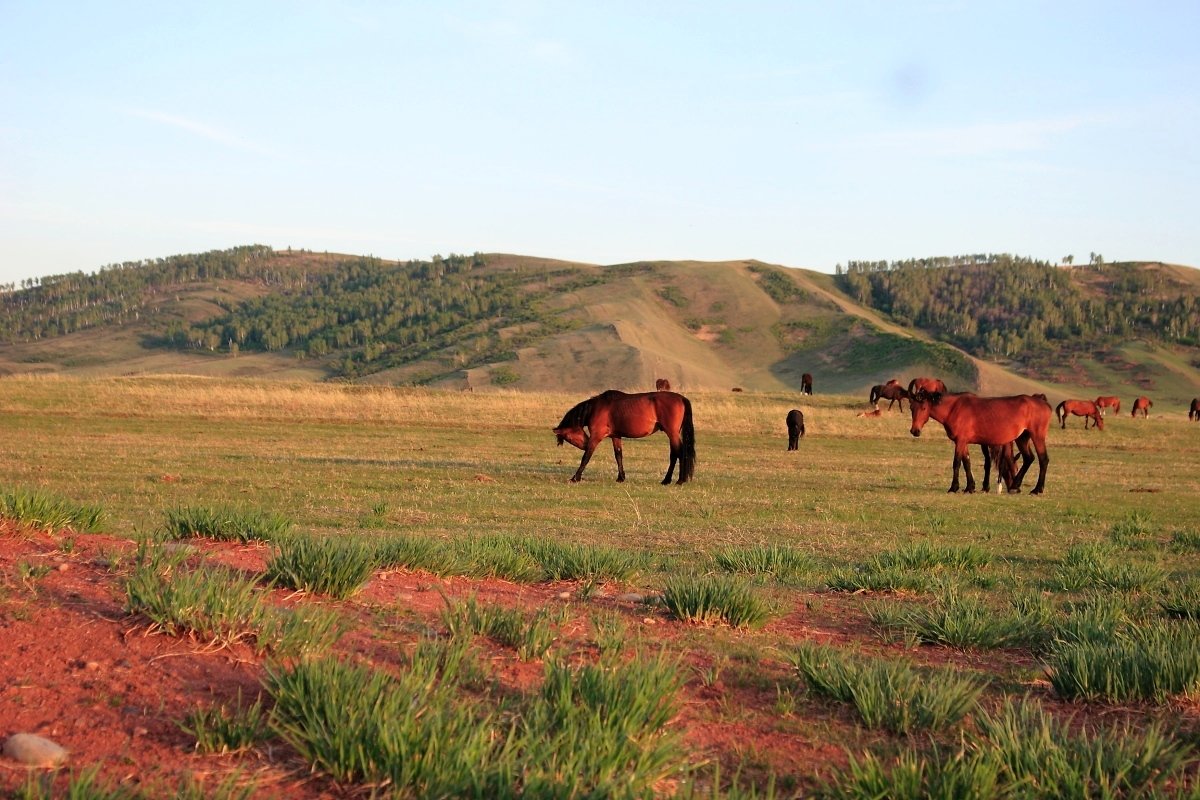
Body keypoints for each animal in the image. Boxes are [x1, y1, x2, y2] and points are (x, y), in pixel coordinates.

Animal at [549, 391, 696, 484]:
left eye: (567, 437)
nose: (584, 444)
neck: (596, 408)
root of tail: (681, 398)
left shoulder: (596, 436)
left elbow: (586, 457)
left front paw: (575, 477)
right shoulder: (616, 436)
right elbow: (618, 455)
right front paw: (621, 477)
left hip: (672, 433)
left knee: (679, 453)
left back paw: (679, 480)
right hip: (672, 434)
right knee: (674, 454)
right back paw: (667, 480)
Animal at [907, 388, 1051, 494]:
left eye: (924, 408)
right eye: (911, 408)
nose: (915, 431)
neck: (954, 408)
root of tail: (1042, 402)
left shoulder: (960, 441)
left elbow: (956, 463)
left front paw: (954, 487)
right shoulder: (963, 442)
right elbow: (967, 463)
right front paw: (970, 487)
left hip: (1037, 436)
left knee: (1043, 459)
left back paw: (1037, 489)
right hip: (1022, 438)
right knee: (1028, 458)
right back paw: (1015, 486)